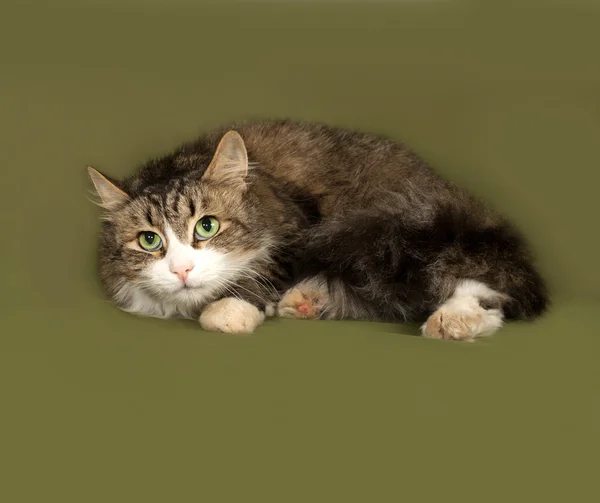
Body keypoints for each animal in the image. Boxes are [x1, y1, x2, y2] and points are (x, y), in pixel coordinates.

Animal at [86, 119, 552, 340]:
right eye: (150, 241)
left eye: (207, 226)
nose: (181, 270)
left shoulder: (301, 231)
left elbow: (258, 277)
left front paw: (229, 311)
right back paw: (309, 299)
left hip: (408, 231)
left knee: (481, 285)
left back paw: (455, 320)